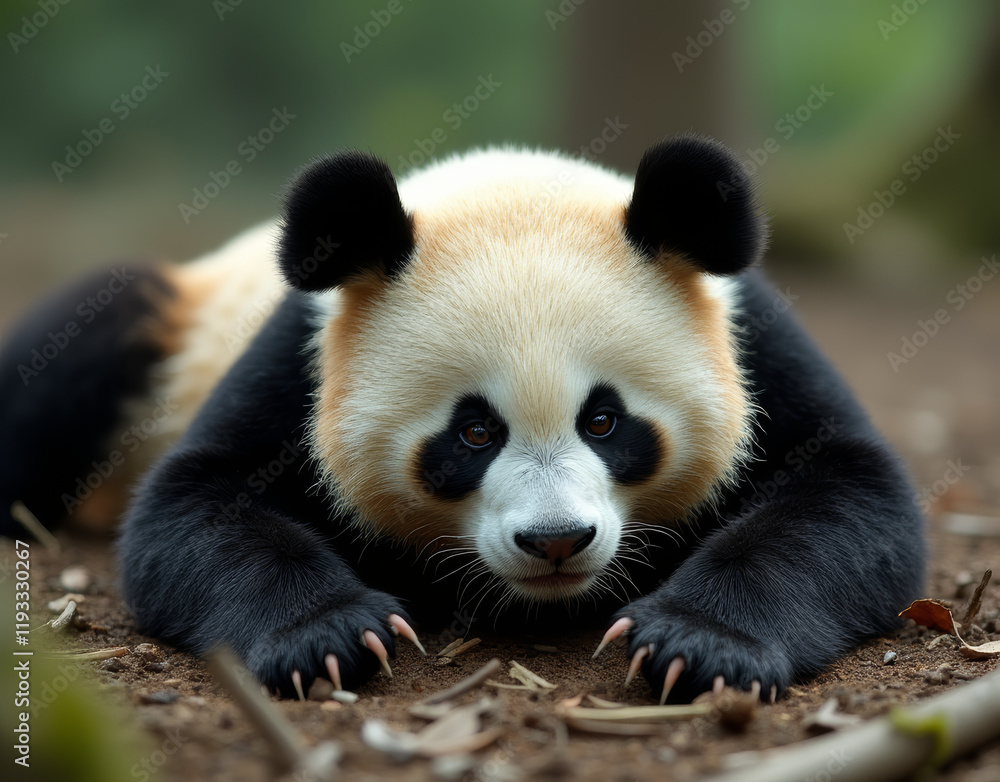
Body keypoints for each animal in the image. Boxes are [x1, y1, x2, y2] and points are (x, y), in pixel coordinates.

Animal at [0, 136, 925, 703]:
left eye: (605, 422)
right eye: (473, 433)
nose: (555, 542)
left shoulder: (750, 340)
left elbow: (850, 493)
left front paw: (695, 645)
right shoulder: (303, 356)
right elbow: (193, 504)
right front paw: (332, 636)